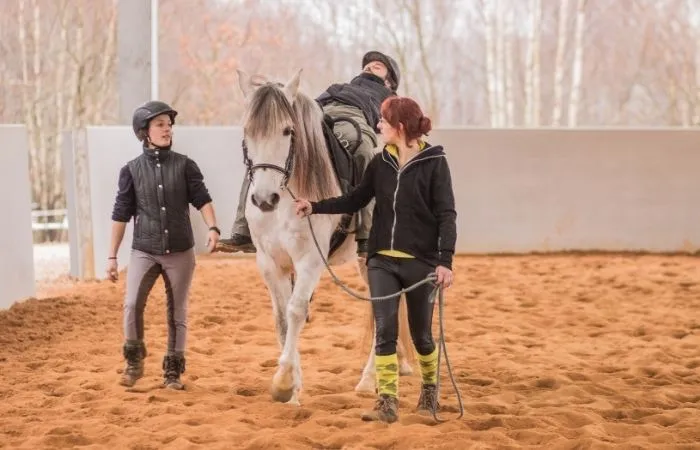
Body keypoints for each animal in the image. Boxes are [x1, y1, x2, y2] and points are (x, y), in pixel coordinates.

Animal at [238, 68, 416, 406]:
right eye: (247, 131)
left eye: (287, 130)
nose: (265, 199)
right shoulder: (269, 263)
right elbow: (282, 318)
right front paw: (294, 386)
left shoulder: (310, 261)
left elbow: (296, 311)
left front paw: (283, 383)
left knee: (383, 306)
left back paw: (368, 379)